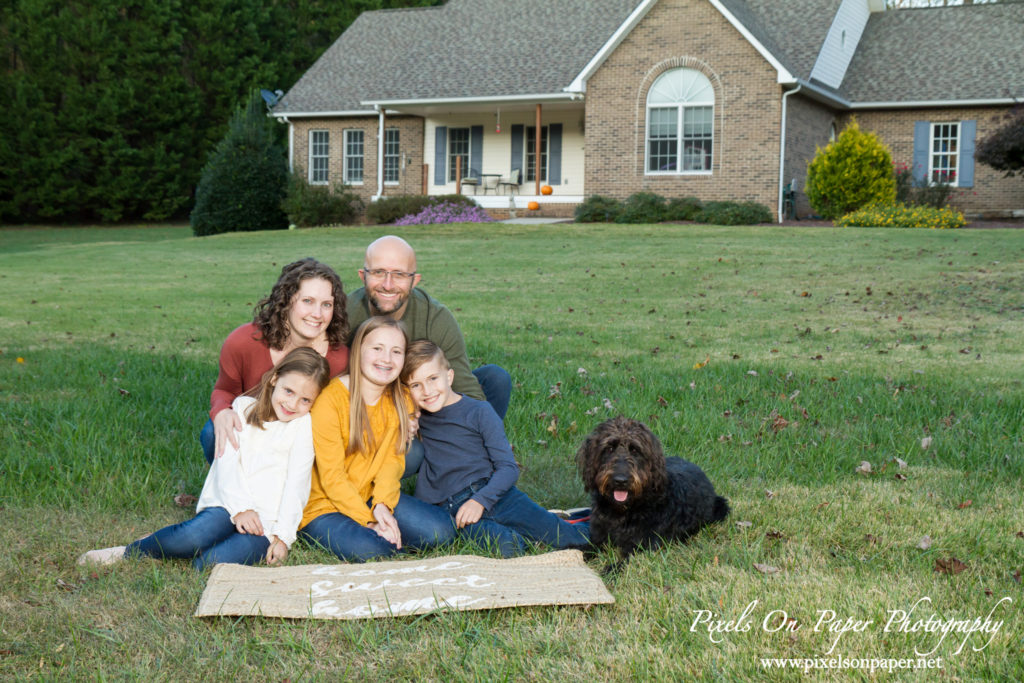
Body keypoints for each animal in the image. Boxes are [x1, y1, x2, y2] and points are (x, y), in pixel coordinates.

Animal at [577, 417, 729, 565]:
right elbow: (583, 550)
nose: (620, 480)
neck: (623, 510)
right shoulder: (597, 539)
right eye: (609, 448)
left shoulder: (642, 547)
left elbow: (621, 563)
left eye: (635, 450)